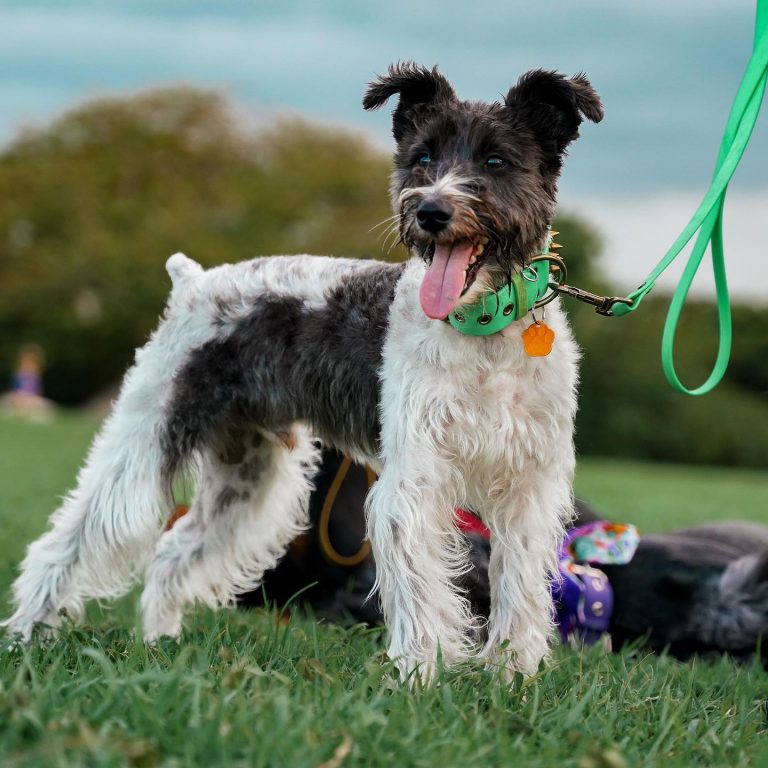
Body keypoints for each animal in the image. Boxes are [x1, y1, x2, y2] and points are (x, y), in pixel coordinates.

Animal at [3, 64, 604, 680]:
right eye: (422, 157)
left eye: (496, 161)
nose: (430, 211)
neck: (486, 331)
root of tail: (192, 281)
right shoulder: (414, 482)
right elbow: (423, 592)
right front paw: (420, 678)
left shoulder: (527, 489)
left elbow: (519, 589)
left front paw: (514, 677)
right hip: (147, 444)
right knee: (66, 542)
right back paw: (28, 637)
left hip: (246, 479)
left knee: (172, 552)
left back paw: (159, 643)